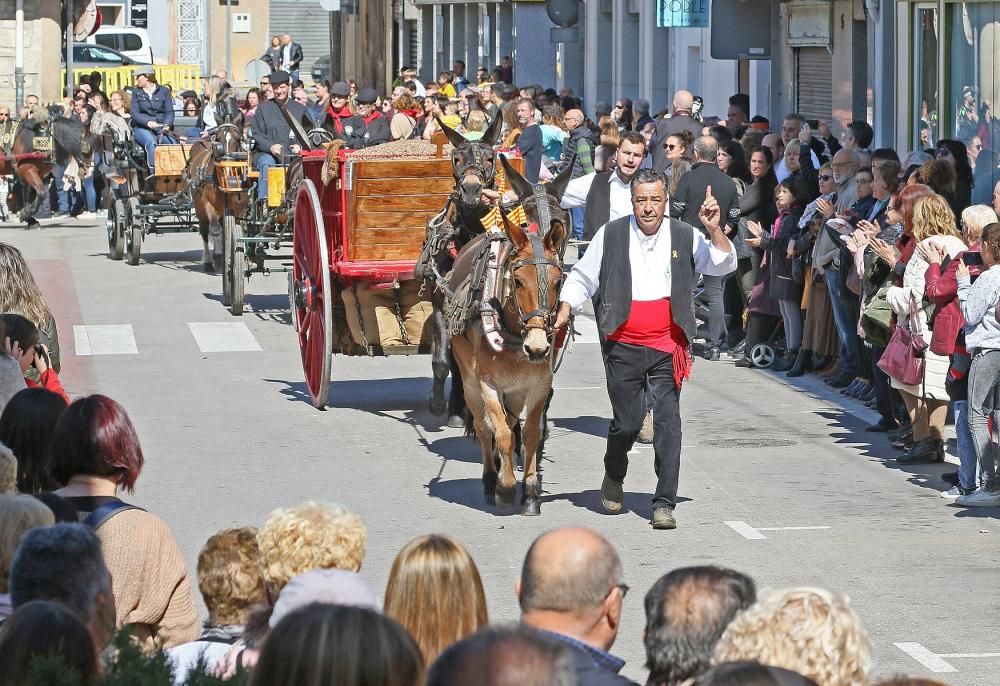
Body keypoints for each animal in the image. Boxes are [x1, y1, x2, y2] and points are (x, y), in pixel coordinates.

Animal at [184, 102, 246, 272]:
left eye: (238, 139)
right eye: (217, 139)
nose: (227, 169)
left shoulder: (238, 207)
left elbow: (236, 230)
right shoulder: (208, 204)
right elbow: (216, 230)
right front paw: (217, 258)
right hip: (199, 206)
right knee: (205, 230)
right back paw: (208, 260)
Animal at [448, 171, 568, 516]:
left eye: (559, 281)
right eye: (517, 281)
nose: (538, 348)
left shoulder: (538, 383)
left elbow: (530, 432)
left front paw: (530, 491)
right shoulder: (487, 383)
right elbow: (499, 431)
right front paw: (505, 487)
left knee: (512, 422)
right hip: (469, 381)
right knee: (484, 426)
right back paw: (492, 479)